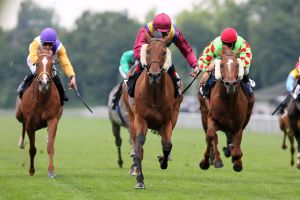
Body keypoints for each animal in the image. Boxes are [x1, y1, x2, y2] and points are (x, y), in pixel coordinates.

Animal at [15, 49, 62, 177]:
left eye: (52, 64)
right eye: (37, 64)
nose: (44, 83)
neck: (42, 98)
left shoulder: (52, 119)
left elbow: (50, 146)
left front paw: (51, 171)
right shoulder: (29, 122)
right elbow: (32, 149)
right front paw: (31, 170)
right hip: (19, 115)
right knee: (22, 123)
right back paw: (21, 143)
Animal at [122, 32, 183, 189]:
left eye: (164, 52)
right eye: (148, 51)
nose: (154, 75)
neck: (154, 93)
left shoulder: (167, 121)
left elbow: (167, 145)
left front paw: (163, 161)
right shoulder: (140, 118)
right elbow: (139, 144)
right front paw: (140, 180)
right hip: (131, 118)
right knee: (137, 144)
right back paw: (135, 168)